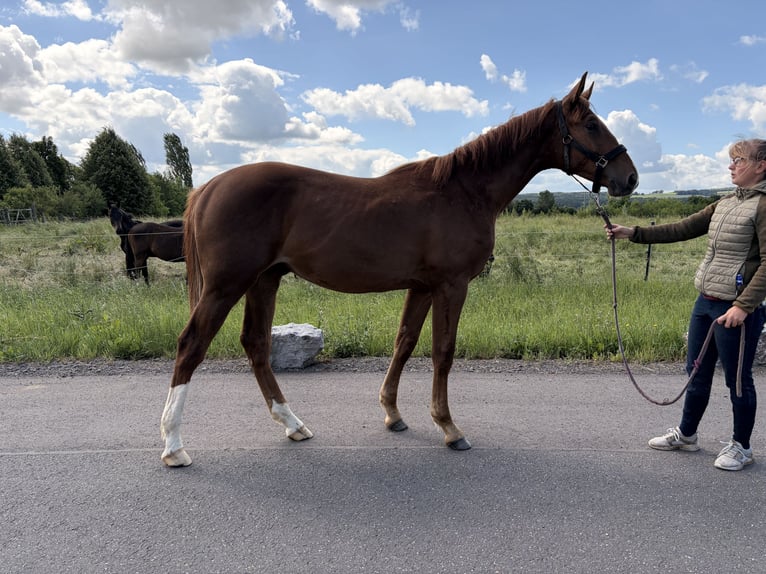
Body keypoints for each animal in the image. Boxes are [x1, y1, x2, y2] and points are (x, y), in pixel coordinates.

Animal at [160, 72, 638, 467]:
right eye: (591, 124)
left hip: (264, 280)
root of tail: (207, 187)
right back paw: (174, 445)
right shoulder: (451, 286)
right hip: (226, 285)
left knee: (256, 345)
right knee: (191, 345)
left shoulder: (422, 287)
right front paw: (449, 428)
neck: (463, 191)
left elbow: (404, 343)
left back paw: (293, 425)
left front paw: (392, 414)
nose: (630, 177)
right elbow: (443, 352)